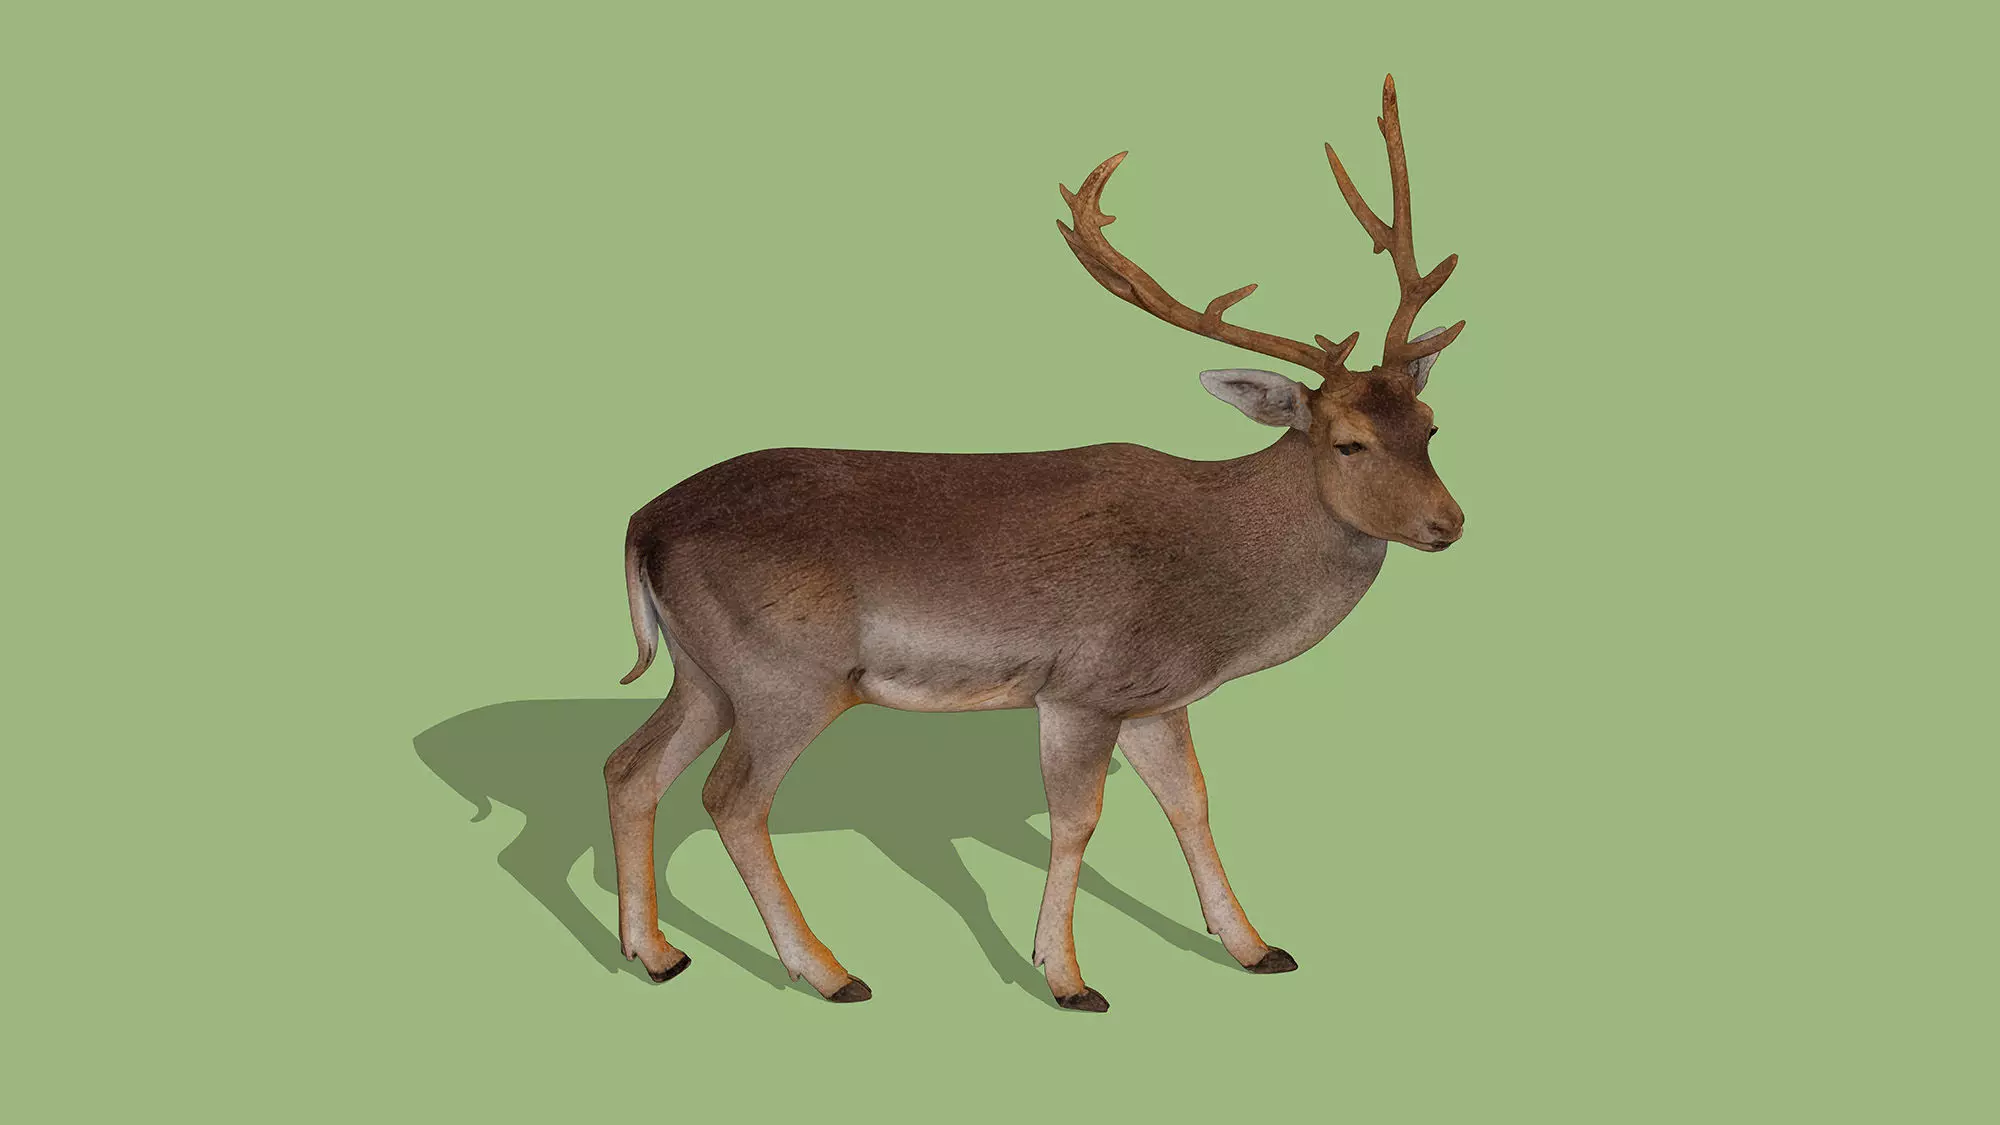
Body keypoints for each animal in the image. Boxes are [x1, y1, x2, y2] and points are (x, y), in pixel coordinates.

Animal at [603, 74, 1467, 1013]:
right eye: (1348, 442)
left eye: (1431, 423)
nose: (1449, 522)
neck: (1217, 600)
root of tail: (641, 523)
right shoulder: (1083, 684)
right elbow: (1078, 819)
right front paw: (1067, 976)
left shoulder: (1154, 697)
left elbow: (1193, 803)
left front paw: (1256, 946)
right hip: (784, 672)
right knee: (731, 797)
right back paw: (829, 971)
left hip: (704, 669)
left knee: (630, 766)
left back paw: (656, 953)